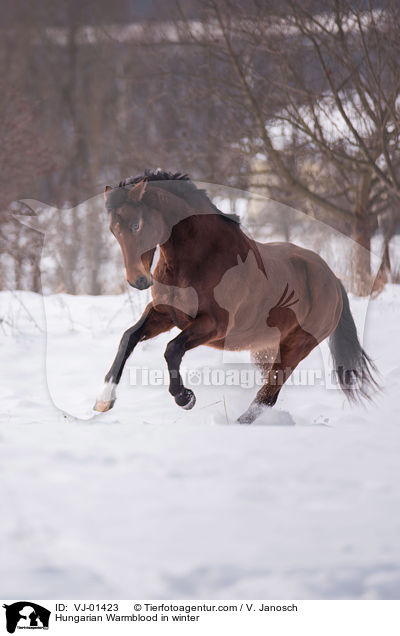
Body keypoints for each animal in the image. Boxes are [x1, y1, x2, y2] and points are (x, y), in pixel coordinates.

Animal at [94, 171, 378, 424]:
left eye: (136, 225)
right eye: (112, 230)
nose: (138, 281)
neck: (199, 258)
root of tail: (333, 278)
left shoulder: (214, 325)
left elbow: (172, 349)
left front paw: (185, 398)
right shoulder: (165, 313)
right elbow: (128, 338)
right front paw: (104, 401)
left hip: (296, 346)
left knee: (268, 395)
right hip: (265, 349)